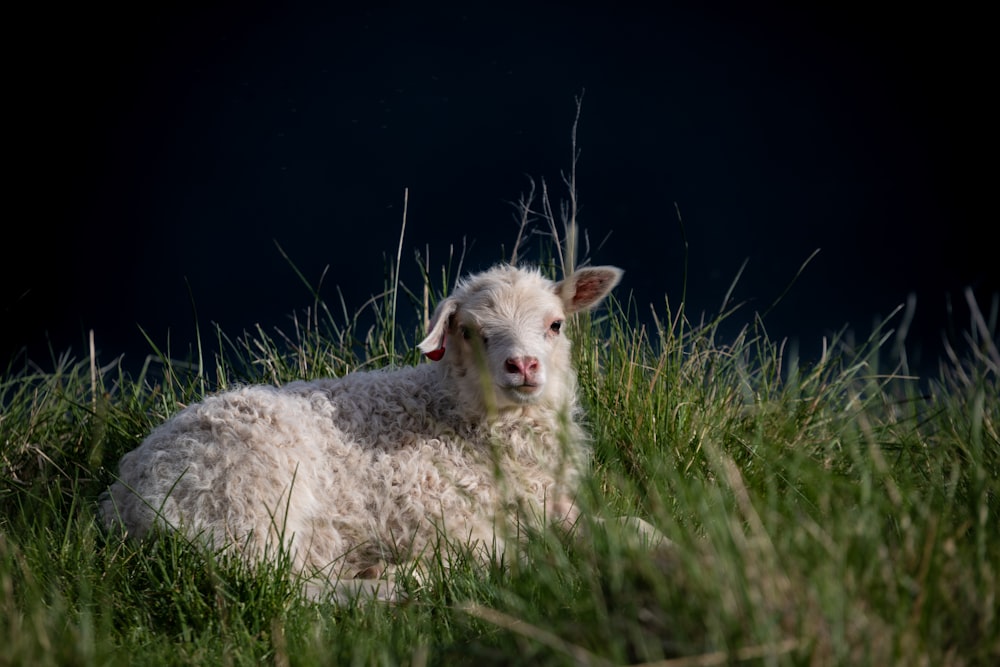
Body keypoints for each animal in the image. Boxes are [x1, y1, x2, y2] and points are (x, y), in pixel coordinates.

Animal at [97, 264, 620, 596]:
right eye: (472, 332)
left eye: (556, 324)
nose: (524, 366)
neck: (456, 416)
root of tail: (124, 495)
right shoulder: (442, 516)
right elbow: (500, 552)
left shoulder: (553, 500)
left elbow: (616, 526)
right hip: (246, 501)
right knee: (279, 586)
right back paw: (393, 585)